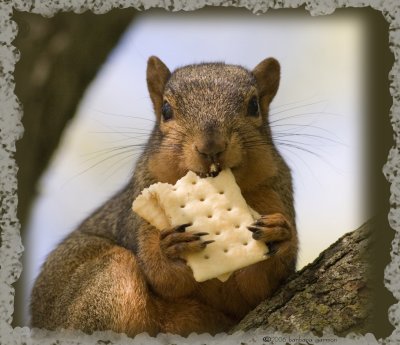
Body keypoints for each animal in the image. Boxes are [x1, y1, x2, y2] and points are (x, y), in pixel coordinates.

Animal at [30, 56, 296, 336]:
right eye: (166, 110)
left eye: (254, 106)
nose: (211, 146)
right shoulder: (141, 209)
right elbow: (162, 276)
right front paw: (171, 249)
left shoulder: (275, 192)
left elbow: (257, 287)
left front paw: (279, 234)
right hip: (105, 279)